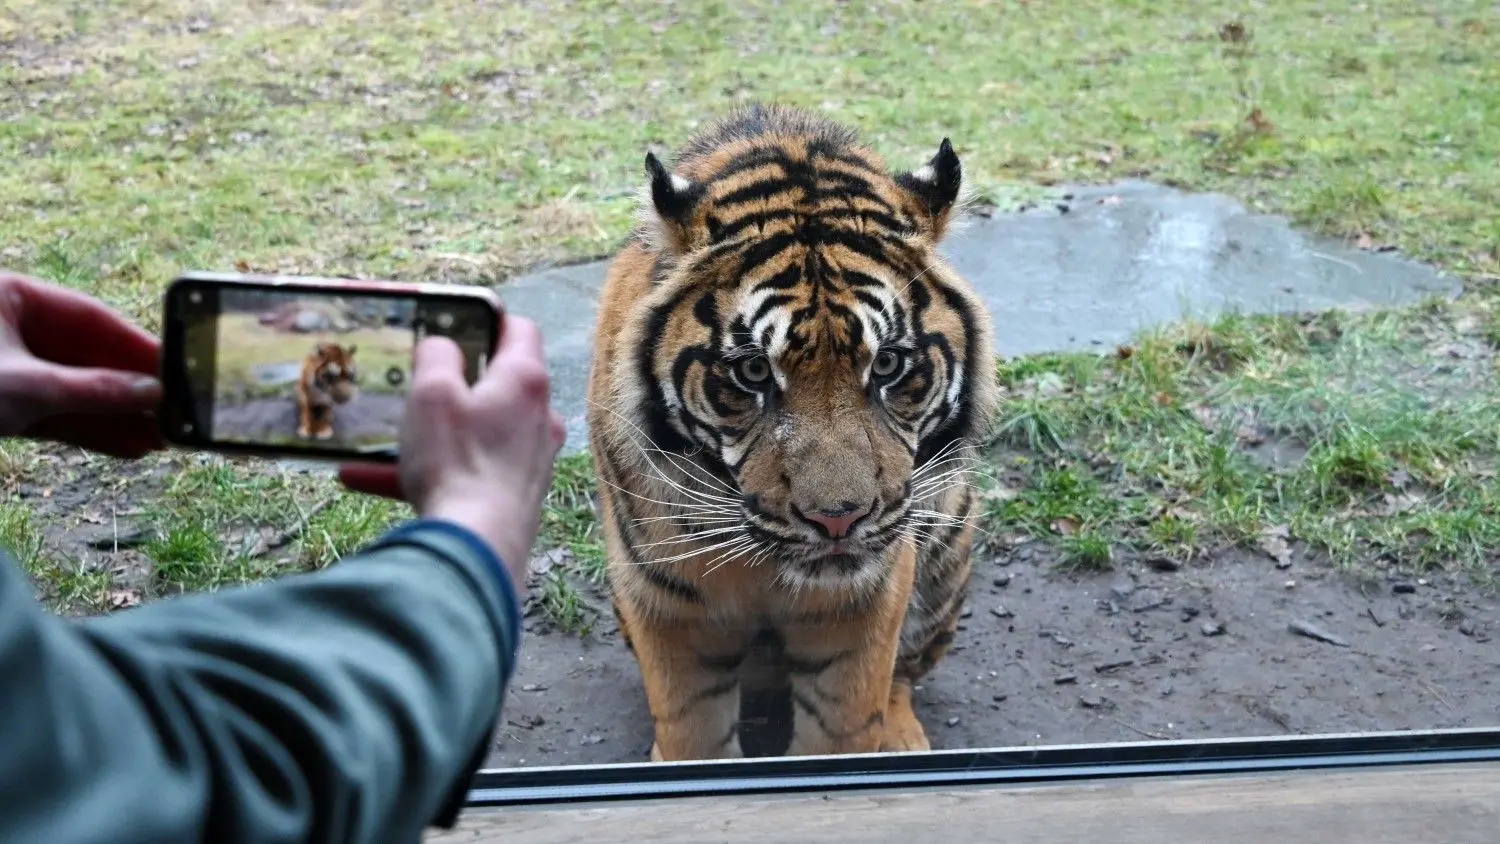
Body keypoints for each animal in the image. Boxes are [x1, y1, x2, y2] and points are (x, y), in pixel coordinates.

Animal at [585, 104, 998, 762]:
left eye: (888, 365)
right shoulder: (663, 602)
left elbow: (845, 728)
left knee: (903, 675)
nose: (838, 521)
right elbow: (691, 735)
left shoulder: (867, 598)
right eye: (753, 372)